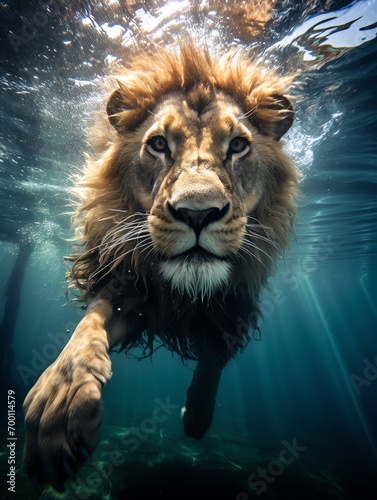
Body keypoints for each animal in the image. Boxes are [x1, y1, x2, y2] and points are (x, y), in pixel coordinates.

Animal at [22, 43, 296, 488]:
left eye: (238, 145)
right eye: (158, 145)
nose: (198, 213)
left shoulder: (229, 307)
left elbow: (213, 360)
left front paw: (196, 416)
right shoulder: (126, 285)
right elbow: (89, 326)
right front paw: (60, 405)